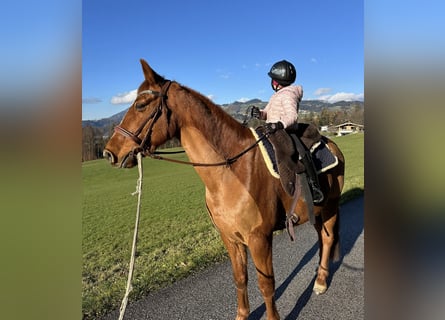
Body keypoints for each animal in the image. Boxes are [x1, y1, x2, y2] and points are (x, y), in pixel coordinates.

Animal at [103, 60, 344, 320]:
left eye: (141, 105)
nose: (109, 153)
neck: (230, 170)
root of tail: (332, 144)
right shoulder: (230, 238)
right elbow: (240, 279)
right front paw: (242, 314)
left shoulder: (259, 239)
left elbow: (266, 284)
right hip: (317, 211)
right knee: (322, 238)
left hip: (330, 208)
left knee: (328, 239)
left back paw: (321, 282)